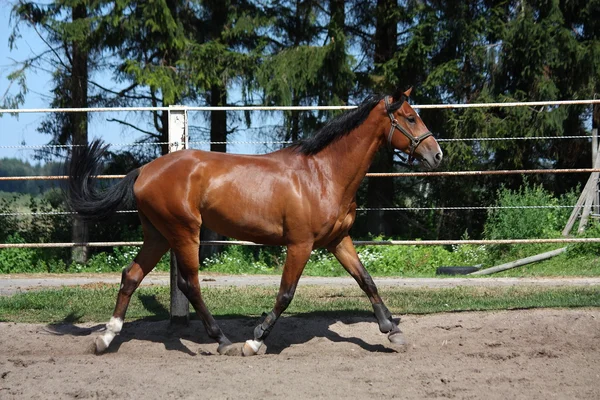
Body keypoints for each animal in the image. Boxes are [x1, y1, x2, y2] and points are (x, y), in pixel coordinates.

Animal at [68, 88, 442, 356]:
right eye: (410, 118)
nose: (436, 155)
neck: (323, 174)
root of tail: (145, 171)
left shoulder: (338, 240)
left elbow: (367, 281)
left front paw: (393, 332)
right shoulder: (300, 244)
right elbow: (286, 293)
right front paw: (256, 339)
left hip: (158, 235)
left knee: (131, 276)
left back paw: (106, 338)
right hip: (184, 232)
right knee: (190, 285)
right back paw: (222, 341)